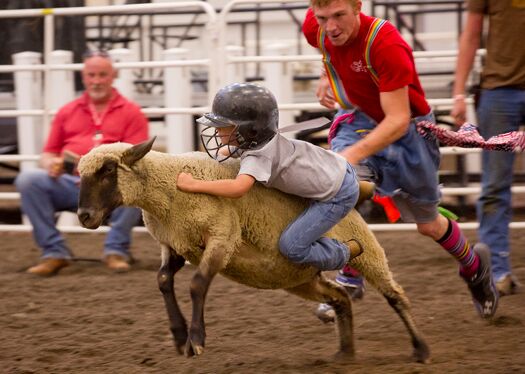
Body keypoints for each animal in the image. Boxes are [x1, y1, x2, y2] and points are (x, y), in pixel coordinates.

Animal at [77, 138, 430, 362]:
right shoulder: (175, 245)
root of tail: (359, 193)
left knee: (394, 295)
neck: (167, 190)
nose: (84, 216)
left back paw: (421, 349)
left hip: (365, 248)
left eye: (108, 170)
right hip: (299, 278)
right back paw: (345, 353)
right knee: (340, 297)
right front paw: (179, 338)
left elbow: (197, 284)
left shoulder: (223, 237)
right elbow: (163, 281)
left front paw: (197, 341)